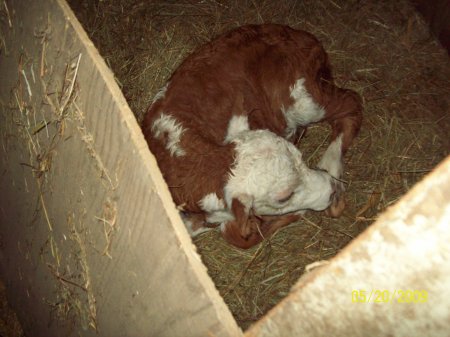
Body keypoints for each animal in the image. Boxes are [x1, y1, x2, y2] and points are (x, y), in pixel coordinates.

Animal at [142, 23, 364, 247]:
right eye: (283, 197)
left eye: (301, 158)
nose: (331, 190)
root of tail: (299, 34)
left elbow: (235, 235)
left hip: (306, 99)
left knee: (352, 101)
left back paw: (331, 167)